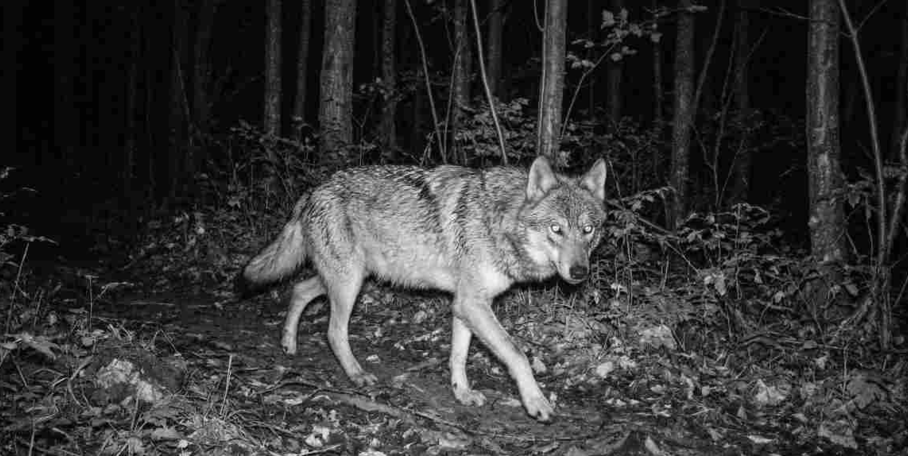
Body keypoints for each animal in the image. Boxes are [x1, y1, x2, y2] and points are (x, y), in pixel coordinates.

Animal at [242, 156, 607, 422]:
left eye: (588, 230)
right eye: (556, 229)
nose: (579, 272)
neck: (499, 220)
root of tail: (314, 190)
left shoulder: (464, 305)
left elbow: (458, 356)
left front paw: (462, 393)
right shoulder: (473, 304)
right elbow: (517, 354)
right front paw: (536, 402)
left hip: (346, 277)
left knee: (299, 289)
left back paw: (288, 343)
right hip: (349, 283)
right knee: (333, 331)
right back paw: (357, 375)